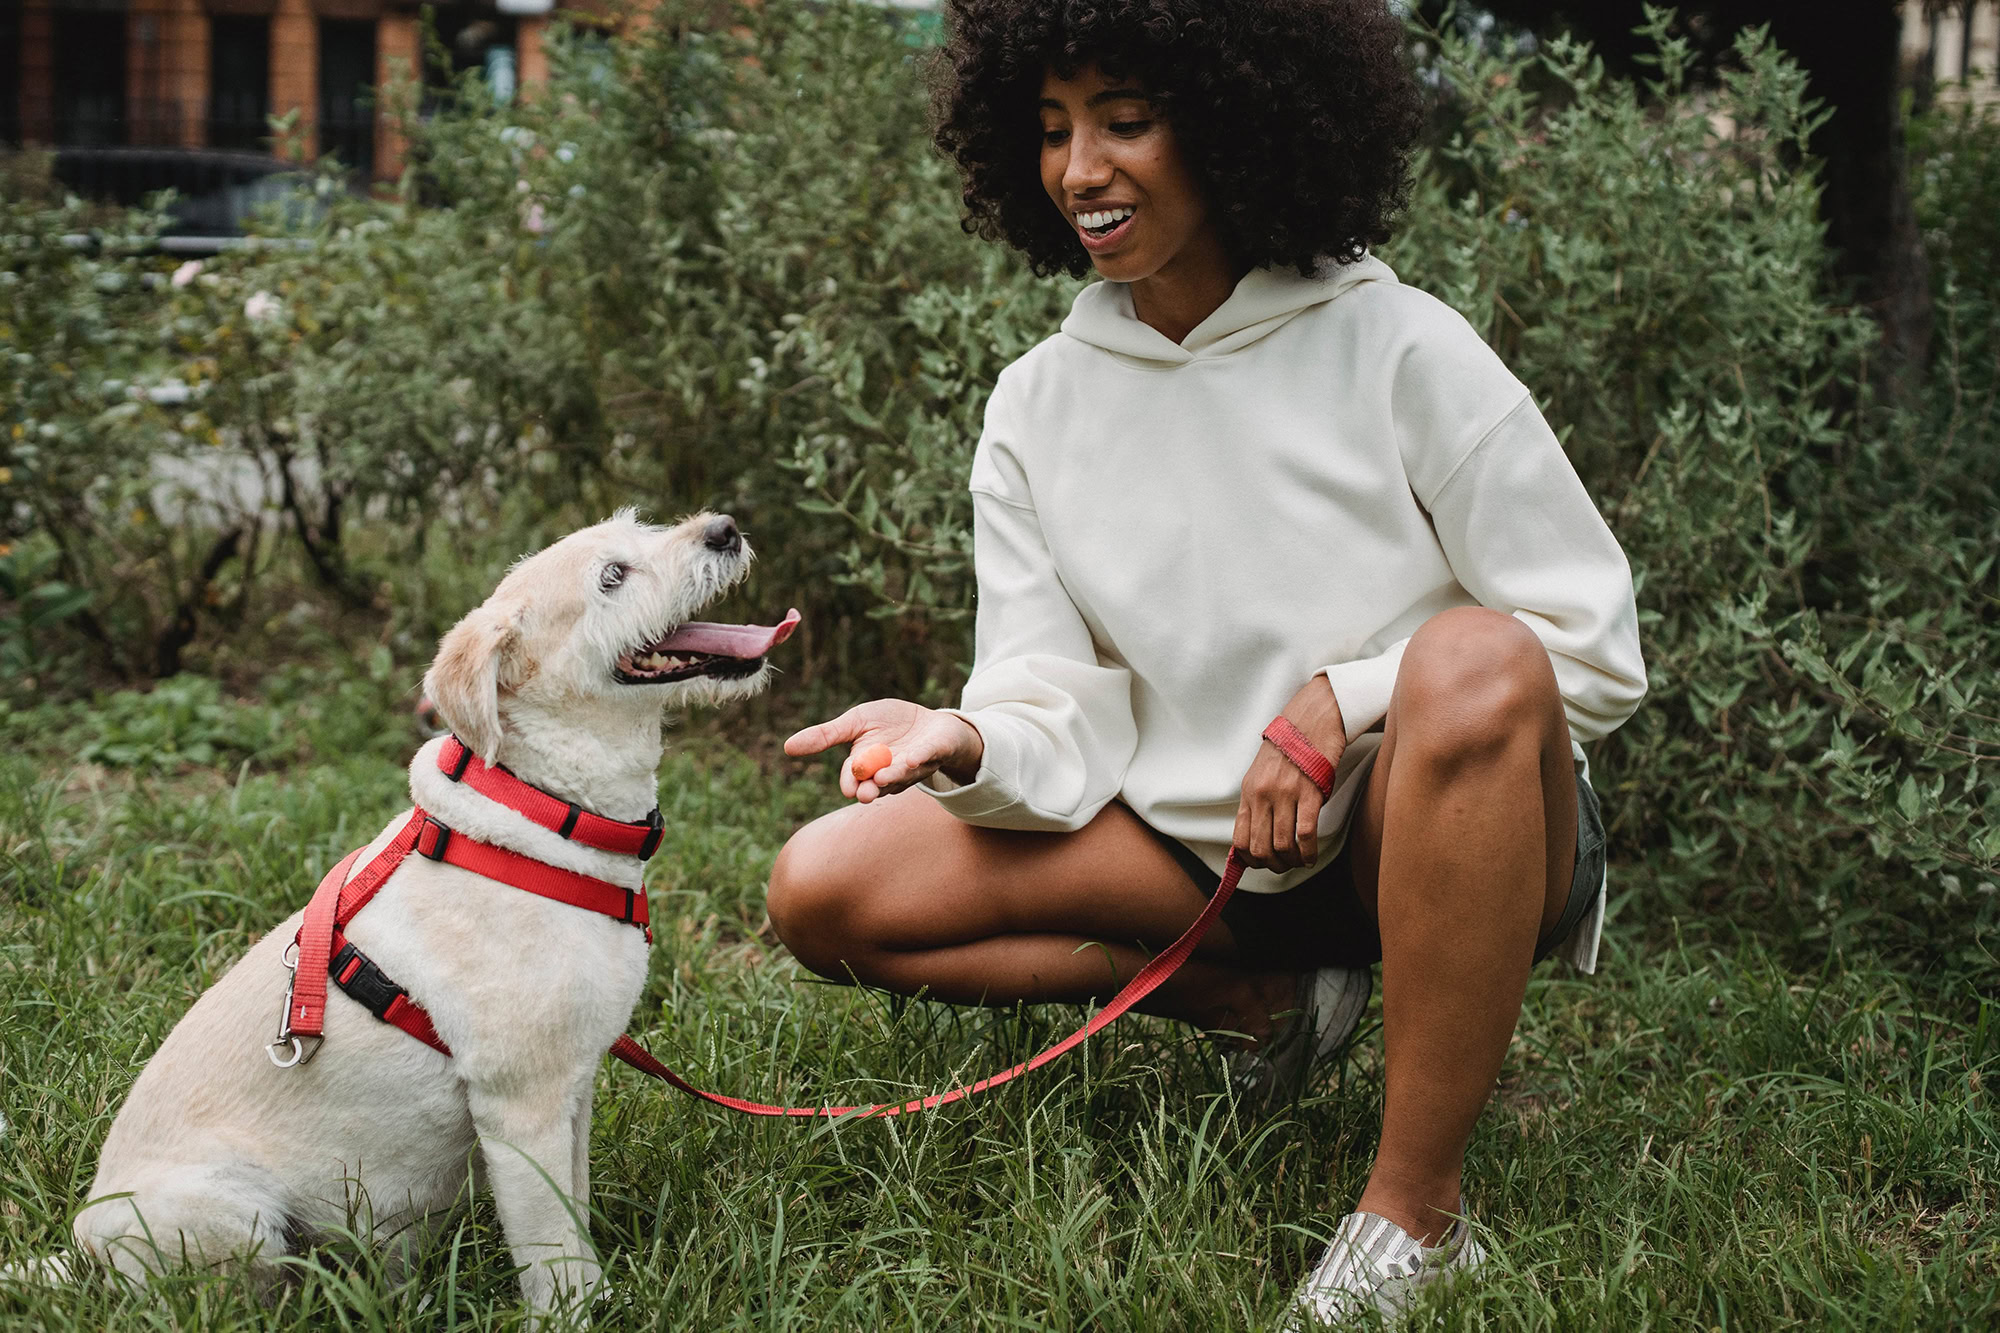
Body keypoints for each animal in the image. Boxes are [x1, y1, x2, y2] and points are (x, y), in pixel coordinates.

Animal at [47, 508, 796, 1304]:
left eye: (644, 526)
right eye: (612, 577)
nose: (724, 528)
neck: (544, 812)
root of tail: (79, 1254)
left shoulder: (575, 1088)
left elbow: (578, 1212)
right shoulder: (520, 1106)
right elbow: (554, 1252)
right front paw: (575, 1309)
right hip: (233, 1213)